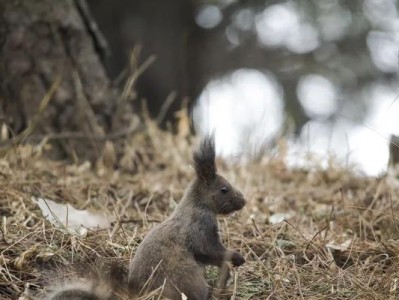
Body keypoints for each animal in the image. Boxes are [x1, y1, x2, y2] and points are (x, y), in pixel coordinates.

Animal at [41, 136, 247, 300]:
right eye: (224, 189)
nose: (243, 201)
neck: (198, 205)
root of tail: (139, 293)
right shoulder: (201, 228)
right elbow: (211, 250)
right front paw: (236, 257)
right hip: (188, 279)